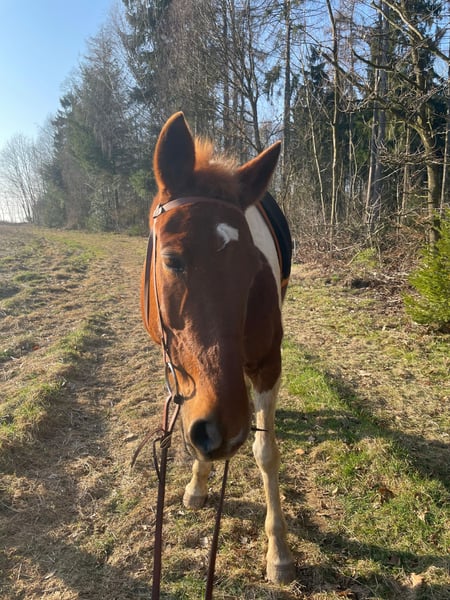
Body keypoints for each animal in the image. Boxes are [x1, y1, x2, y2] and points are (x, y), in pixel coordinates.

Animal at [141, 112, 295, 585]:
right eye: (172, 260)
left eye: (252, 268)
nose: (224, 430)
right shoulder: (176, 364)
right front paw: (197, 484)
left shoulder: (267, 364)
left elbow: (266, 452)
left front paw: (278, 549)